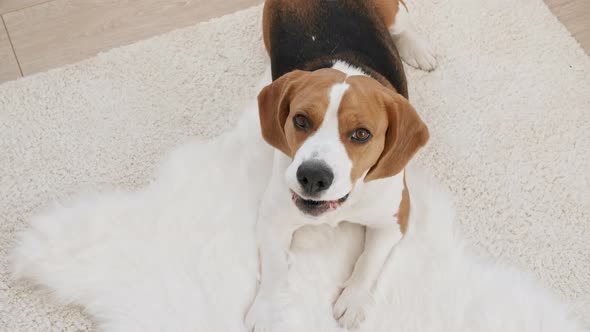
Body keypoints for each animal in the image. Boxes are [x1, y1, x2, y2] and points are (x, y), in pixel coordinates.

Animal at [247, 0, 438, 330]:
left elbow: (368, 261)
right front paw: (267, 308)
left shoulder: (394, 219)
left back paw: (420, 50)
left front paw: (353, 300)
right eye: (300, 120)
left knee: (405, 25)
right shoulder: (273, 216)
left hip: (394, 15)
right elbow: (274, 268)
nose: (313, 176)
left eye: (361, 134)